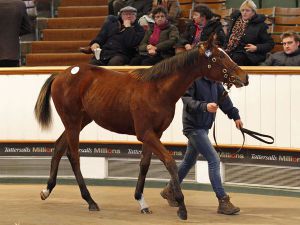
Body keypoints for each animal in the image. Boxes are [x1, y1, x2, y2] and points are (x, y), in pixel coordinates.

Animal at [34, 38, 248, 220]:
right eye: (218, 57)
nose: (244, 77)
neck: (158, 89)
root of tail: (62, 74)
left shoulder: (154, 134)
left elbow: (144, 165)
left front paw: (142, 202)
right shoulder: (145, 133)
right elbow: (170, 161)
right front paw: (181, 207)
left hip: (80, 121)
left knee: (59, 146)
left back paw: (46, 190)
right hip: (72, 121)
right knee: (74, 156)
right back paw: (90, 201)